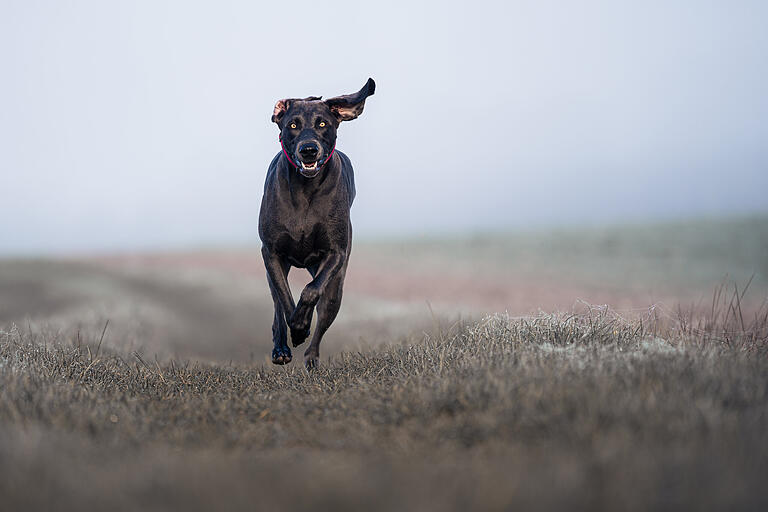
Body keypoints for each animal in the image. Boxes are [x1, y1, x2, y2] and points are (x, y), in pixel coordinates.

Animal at [260, 78, 376, 370]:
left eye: (323, 123)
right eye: (292, 125)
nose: (309, 150)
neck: (305, 189)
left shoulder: (336, 253)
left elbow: (311, 291)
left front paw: (302, 327)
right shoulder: (271, 253)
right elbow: (284, 298)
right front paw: (296, 328)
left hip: (336, 287)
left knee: (324, 310)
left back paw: (311, 356)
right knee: (277, 305)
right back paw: (282, 347)